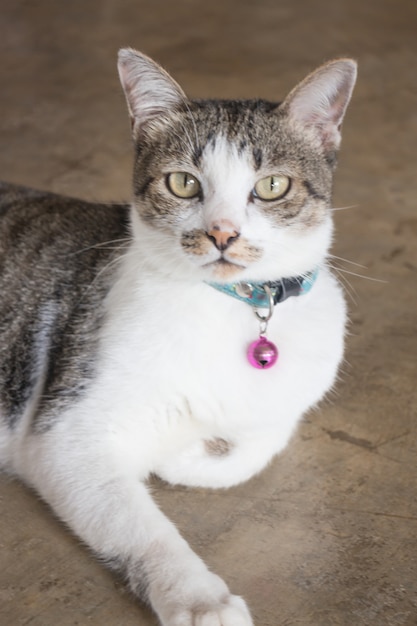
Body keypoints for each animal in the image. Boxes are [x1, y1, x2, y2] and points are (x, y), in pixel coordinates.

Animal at [0, 48, 354, 624]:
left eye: (272, 186)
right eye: (183, 183)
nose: (222, 233)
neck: (238, 306)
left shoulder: (287, 399)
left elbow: (258, 443)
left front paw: (186, 453)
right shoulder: (64, 437)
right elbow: (146, 530)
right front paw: (200, 598)